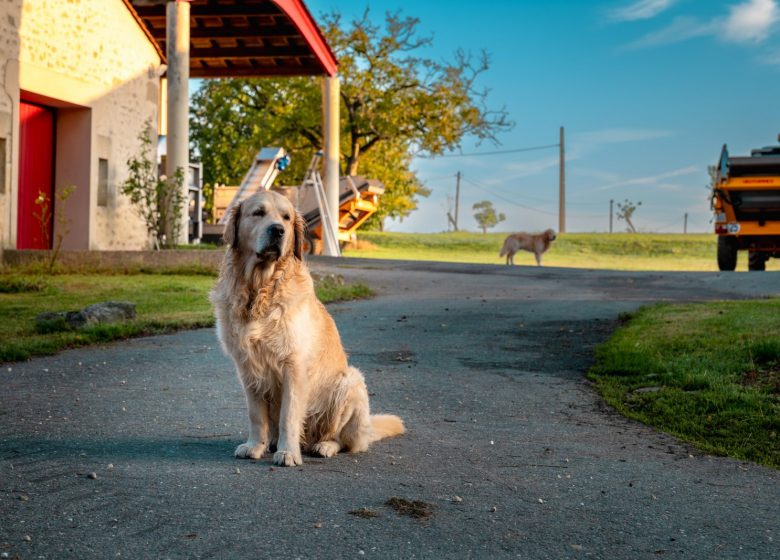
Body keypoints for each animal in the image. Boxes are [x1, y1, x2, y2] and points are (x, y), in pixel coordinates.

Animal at [209, 190, 402, 466]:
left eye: (287, 218)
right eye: (258, 213)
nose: (278, 230)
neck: (260, 289)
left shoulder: (294, 365)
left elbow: (289, 416)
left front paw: (288, 452)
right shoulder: (247, 367)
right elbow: (256, 415)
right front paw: (255, 446)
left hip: (350, 382)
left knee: (345, 441)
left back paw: (323, 446)